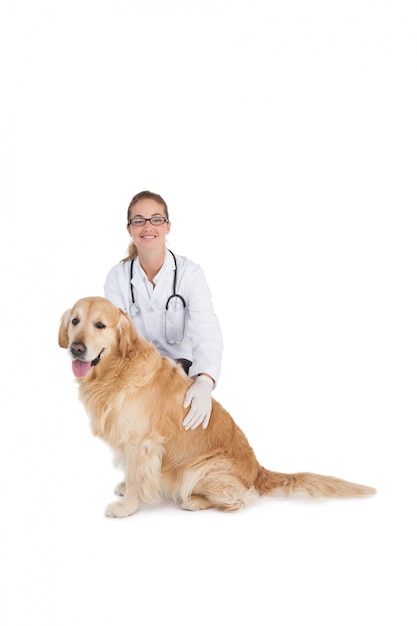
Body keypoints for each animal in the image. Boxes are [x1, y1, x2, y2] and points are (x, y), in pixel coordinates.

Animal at [57, 298, 374, 516]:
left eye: (100, 325)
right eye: (75, 321)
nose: (76, 348)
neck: (116, 371)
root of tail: (258, 470)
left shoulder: (142, 442)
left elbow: (136, 475)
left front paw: (126, 506)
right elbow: (130, 471)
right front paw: (124, 489)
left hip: (199, 468)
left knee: (240, 499)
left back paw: (192, 502)